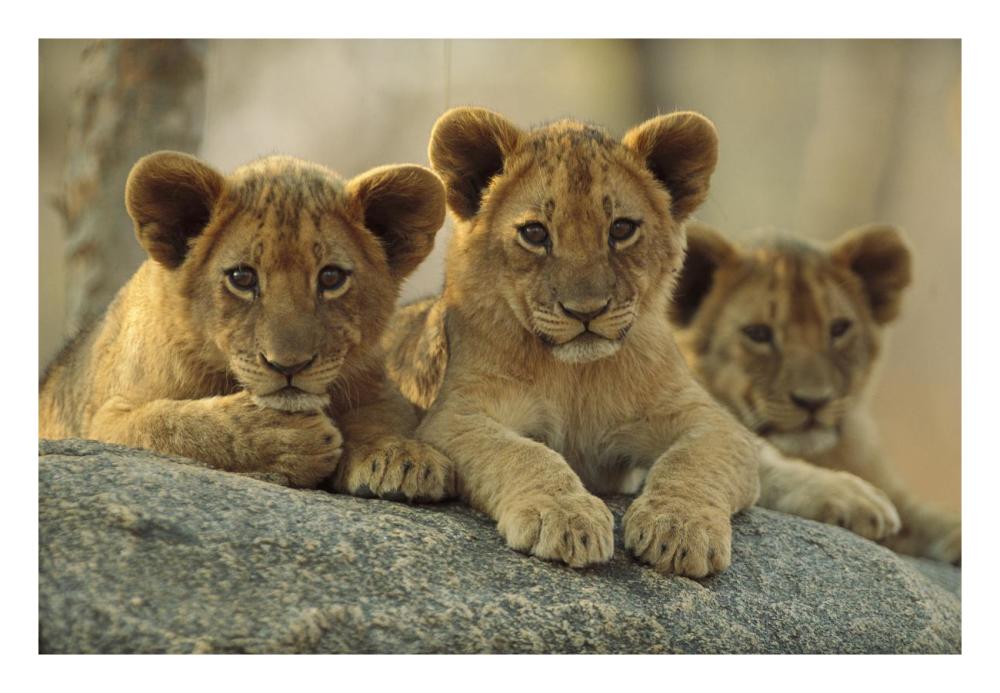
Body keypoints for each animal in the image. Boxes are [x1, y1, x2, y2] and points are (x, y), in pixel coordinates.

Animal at [40, 151, 453, 499]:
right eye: (242, 277)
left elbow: (381, 419)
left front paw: (401, 456)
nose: (289, 366)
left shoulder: (380, 390)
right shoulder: (107, 420)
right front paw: (284, 438)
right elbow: (171, 424)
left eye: (332, 277)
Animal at [382, 107, 763, 579]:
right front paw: (564, 516)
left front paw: (678, 525)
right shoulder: (454, 416)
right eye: (534, 233)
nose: (586, 311)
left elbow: (692, 461)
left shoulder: (715, 423)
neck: (575, 377)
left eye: (621, 229)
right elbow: (522, 453)